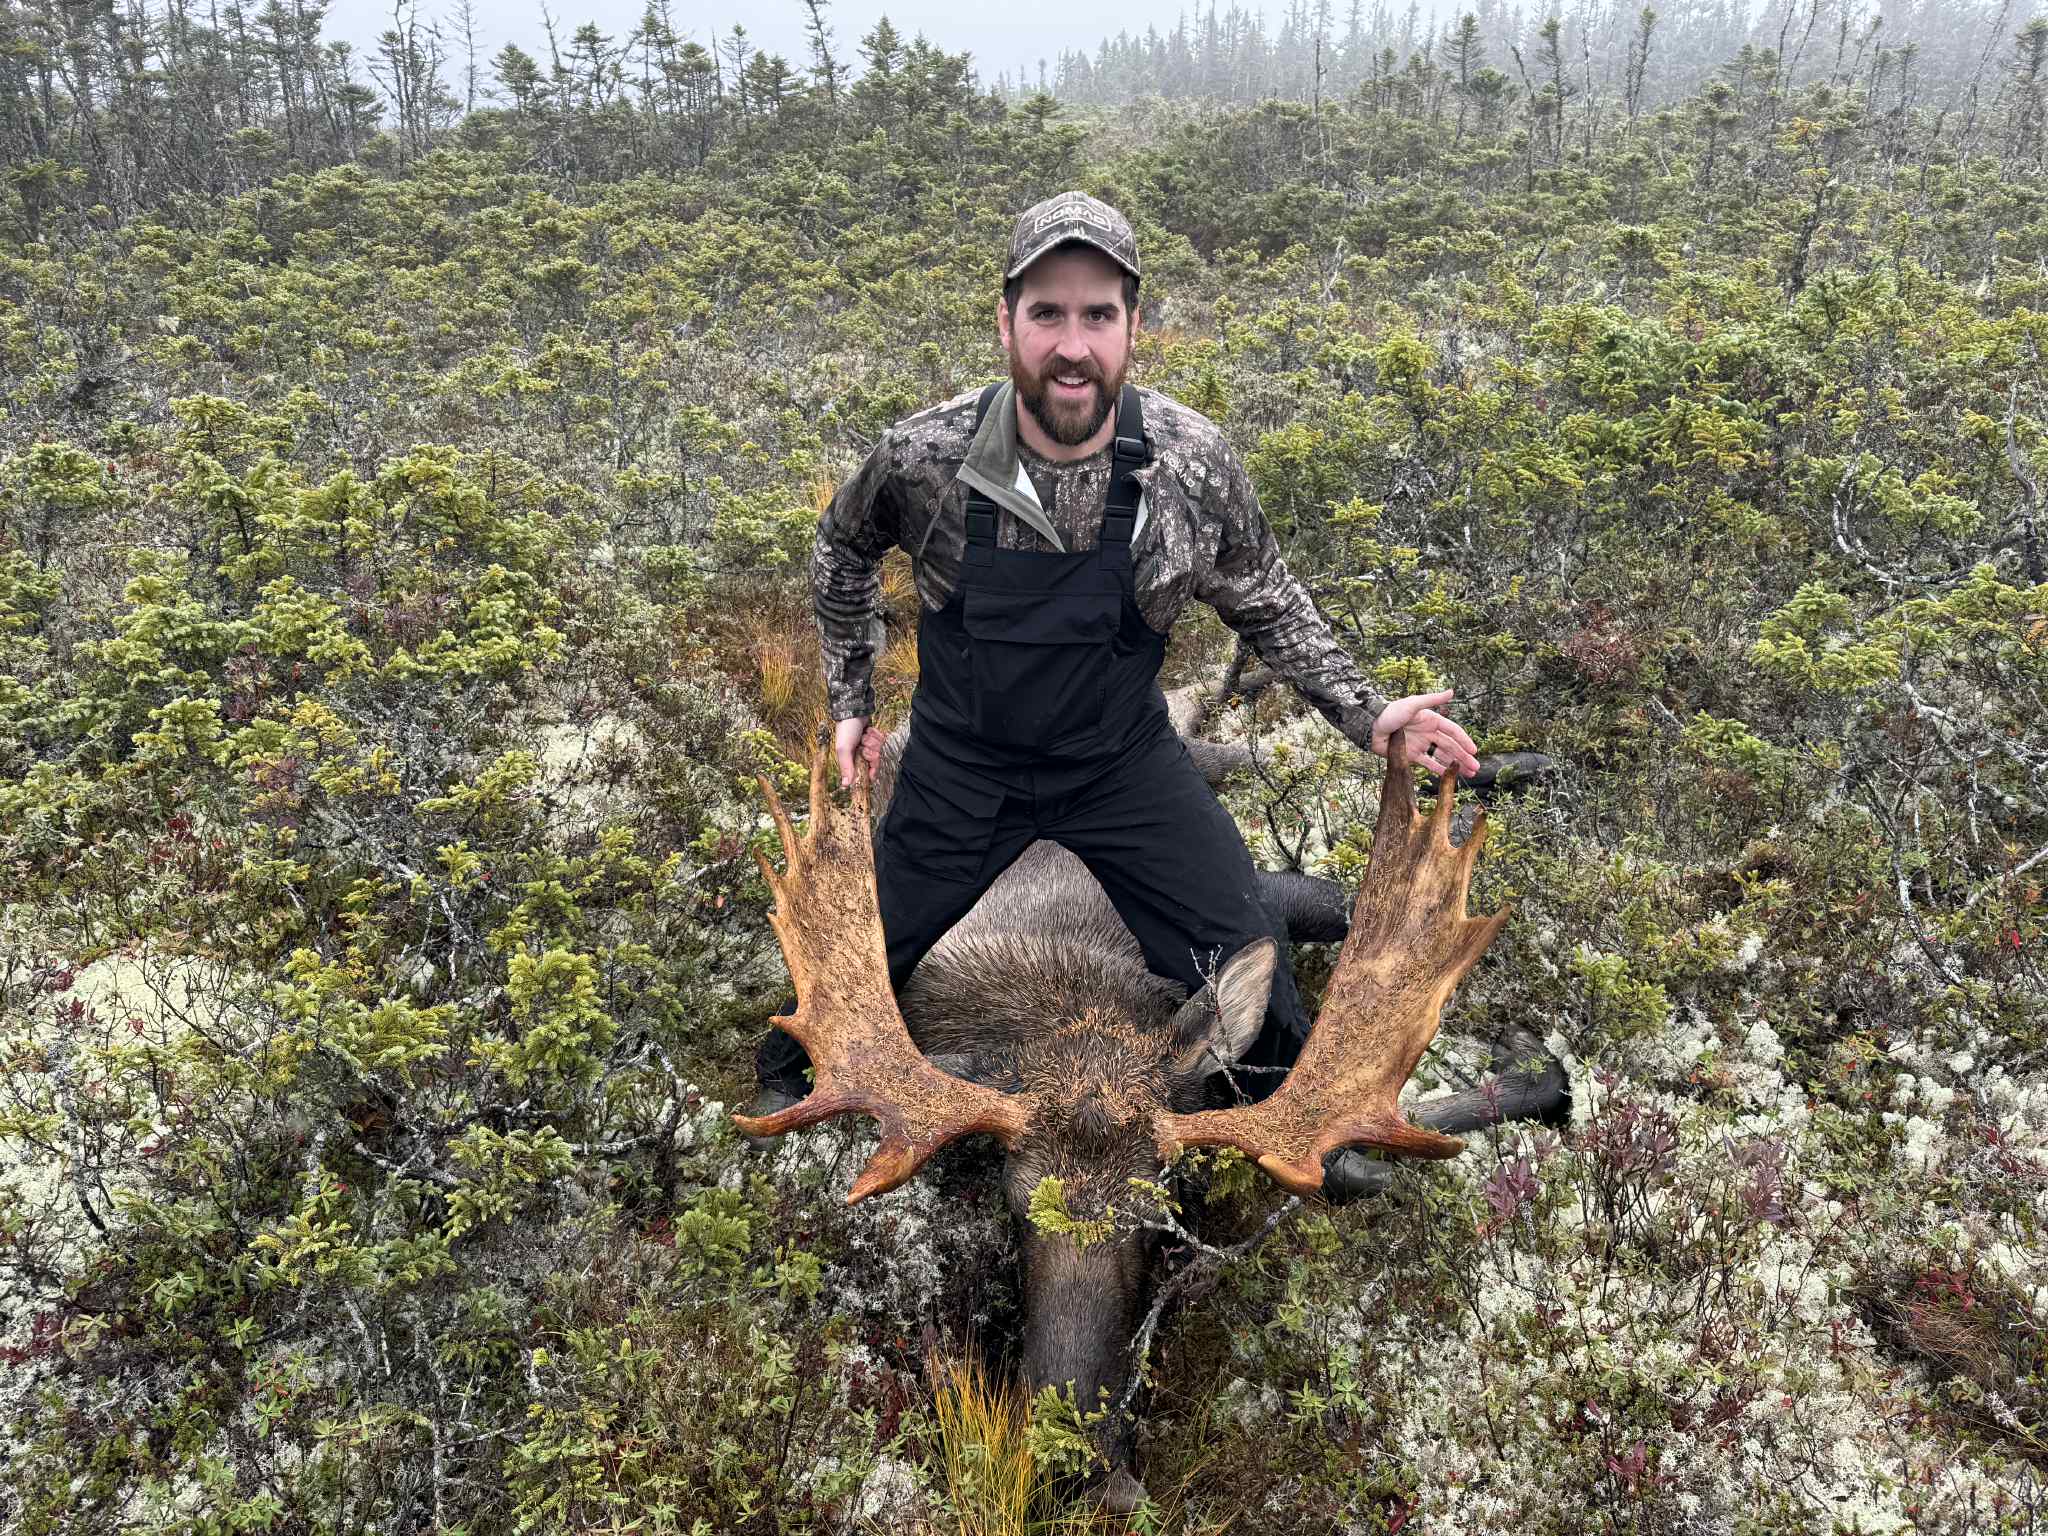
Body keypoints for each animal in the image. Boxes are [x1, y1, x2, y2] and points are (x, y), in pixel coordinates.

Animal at [734, 727, 1565, 1512]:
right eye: (1014, 1208)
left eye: (1165, 1223)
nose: (1078, 1471)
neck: (1075, 1006)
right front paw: (1541, 1072)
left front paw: (1541, 1071)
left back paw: (1511, 764)